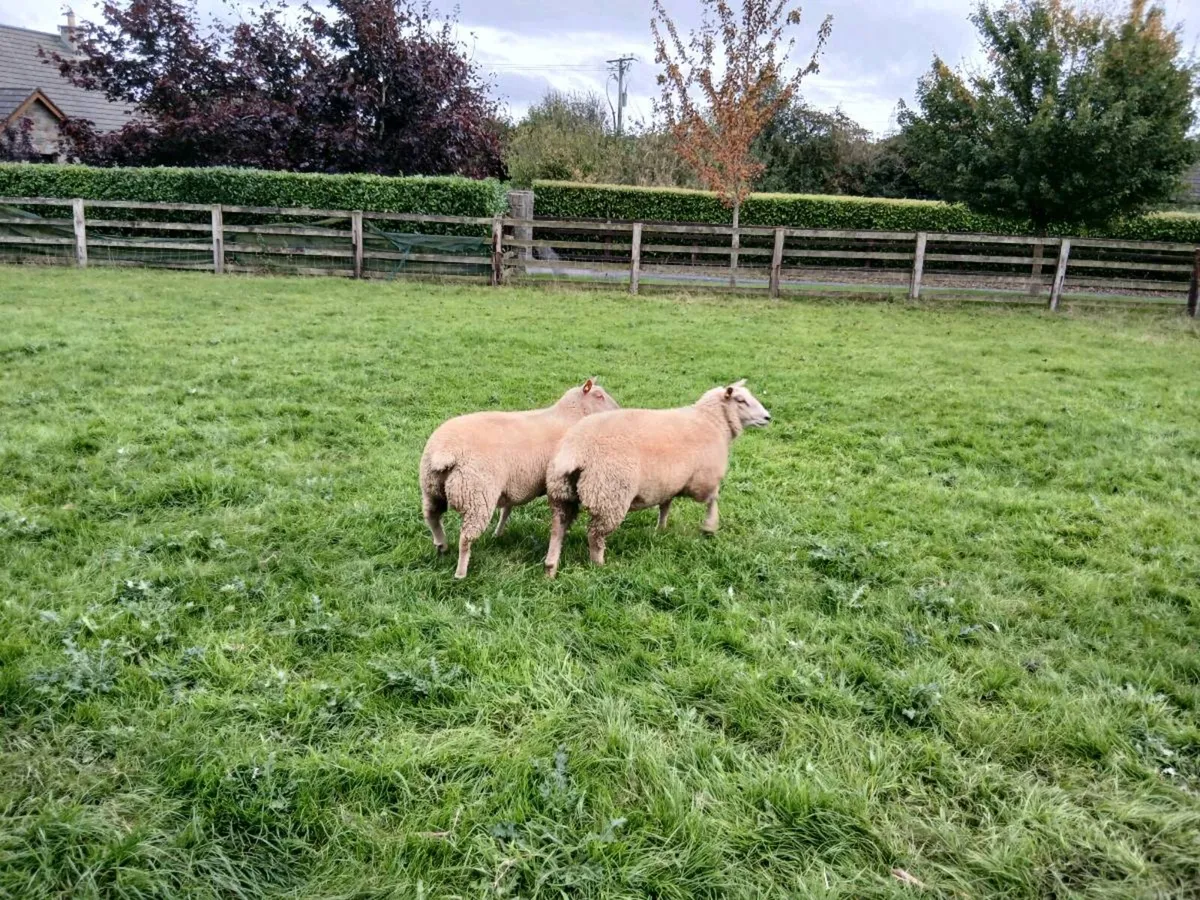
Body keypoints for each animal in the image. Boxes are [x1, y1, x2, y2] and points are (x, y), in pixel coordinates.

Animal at [420, 379, 620, 578]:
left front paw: (498, 533)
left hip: (431, 488)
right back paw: (461, 572)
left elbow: (506, 510)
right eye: (599, 395)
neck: (570, 415)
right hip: (476, 497)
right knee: (465, 538)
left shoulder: (513, 484)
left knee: (432, 516)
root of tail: (444, 452)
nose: (618, 409)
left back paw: (442, 546)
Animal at [542, 380, 770, 578]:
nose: (768, 417)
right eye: (741, 401)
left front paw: (661, 529)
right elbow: (713, 498)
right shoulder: (703, 479)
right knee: (595, 536)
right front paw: (710, 527)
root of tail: (574, 451)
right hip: (609, 495)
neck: (712, 422)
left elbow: (665, 505)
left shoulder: (669, 482)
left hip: (562, 493)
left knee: (558, 528)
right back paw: (599, 565)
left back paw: (550, 569)